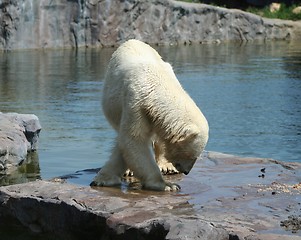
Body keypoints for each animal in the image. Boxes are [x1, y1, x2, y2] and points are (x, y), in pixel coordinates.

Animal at [91, 39, 209, 191]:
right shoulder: (135, 102)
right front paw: (167, 185)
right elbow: (133, 139)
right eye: (192, 155)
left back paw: (166, 166)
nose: (187, 171)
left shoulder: (150, 112)